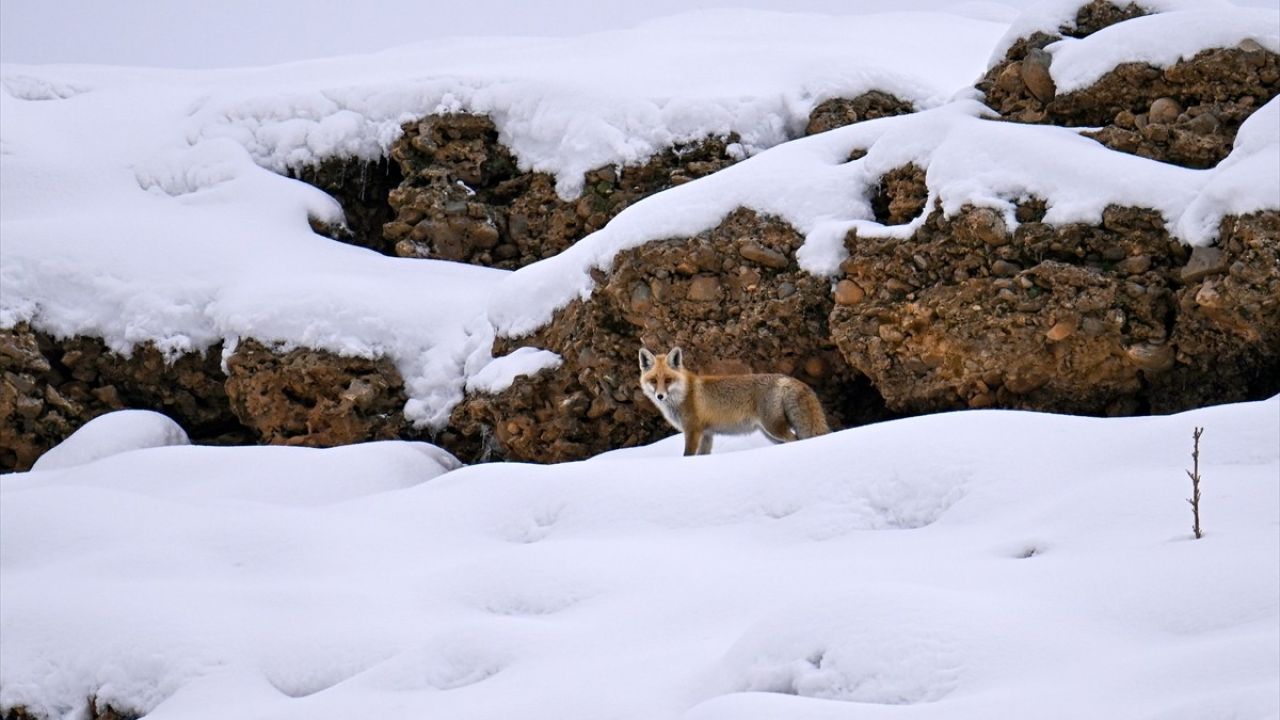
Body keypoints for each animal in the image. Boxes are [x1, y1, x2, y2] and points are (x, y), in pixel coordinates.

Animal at [637, 345, 829, 453]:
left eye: (668, 380)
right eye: (653, 381)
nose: (660, 396)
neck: (684, 393)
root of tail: (787, 379)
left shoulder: (693, 431)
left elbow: (687, 455)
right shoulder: (707, 434)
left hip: (773, 427)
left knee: (795, 440)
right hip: (769, 433)